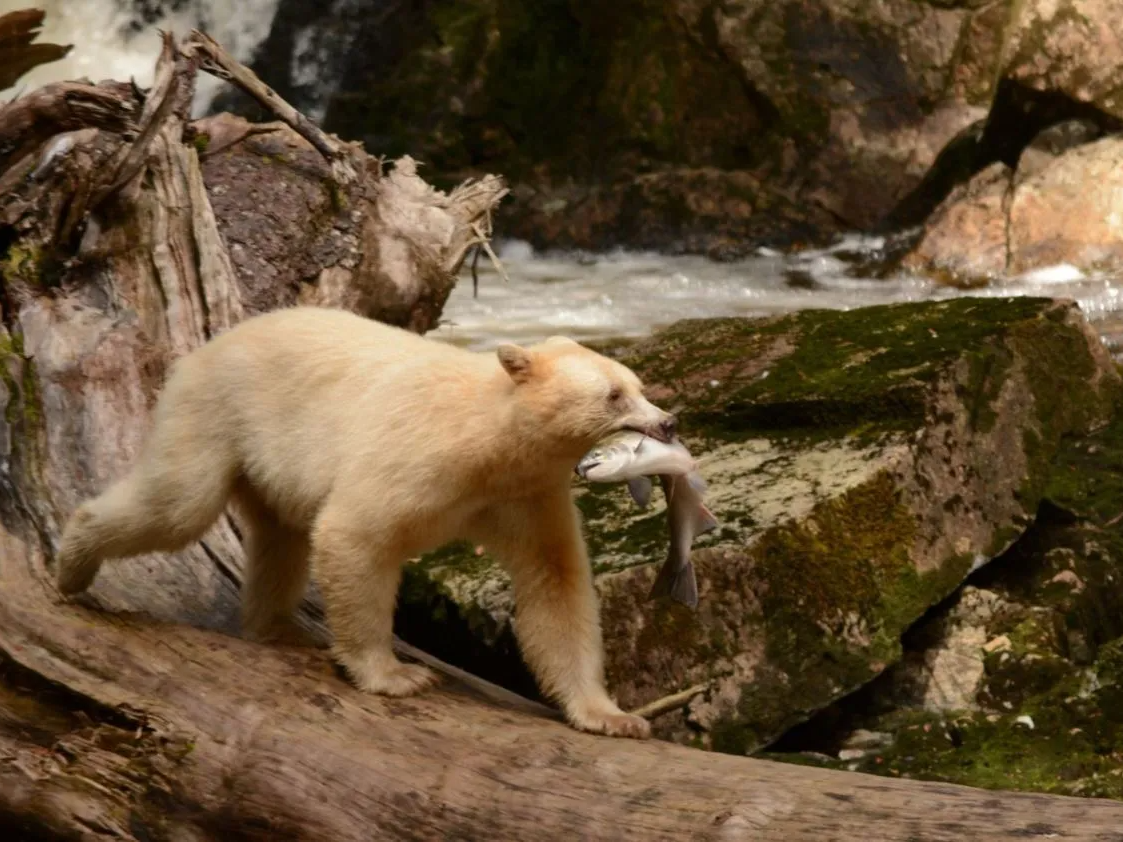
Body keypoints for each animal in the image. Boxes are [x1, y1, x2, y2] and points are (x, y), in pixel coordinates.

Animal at [55, 306, 676, 739]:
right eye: (615, 395)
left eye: (639, 385)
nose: (668, 422)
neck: (488, 439)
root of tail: (209, 343)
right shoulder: (417, 455)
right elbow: (355, 534)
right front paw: (396, 676)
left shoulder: (524, 493)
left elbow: (555, 580)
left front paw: (613, 716)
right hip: (217, 409)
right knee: (179, 504)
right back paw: (72, 564)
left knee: (279, 537)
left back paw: (276, 626)